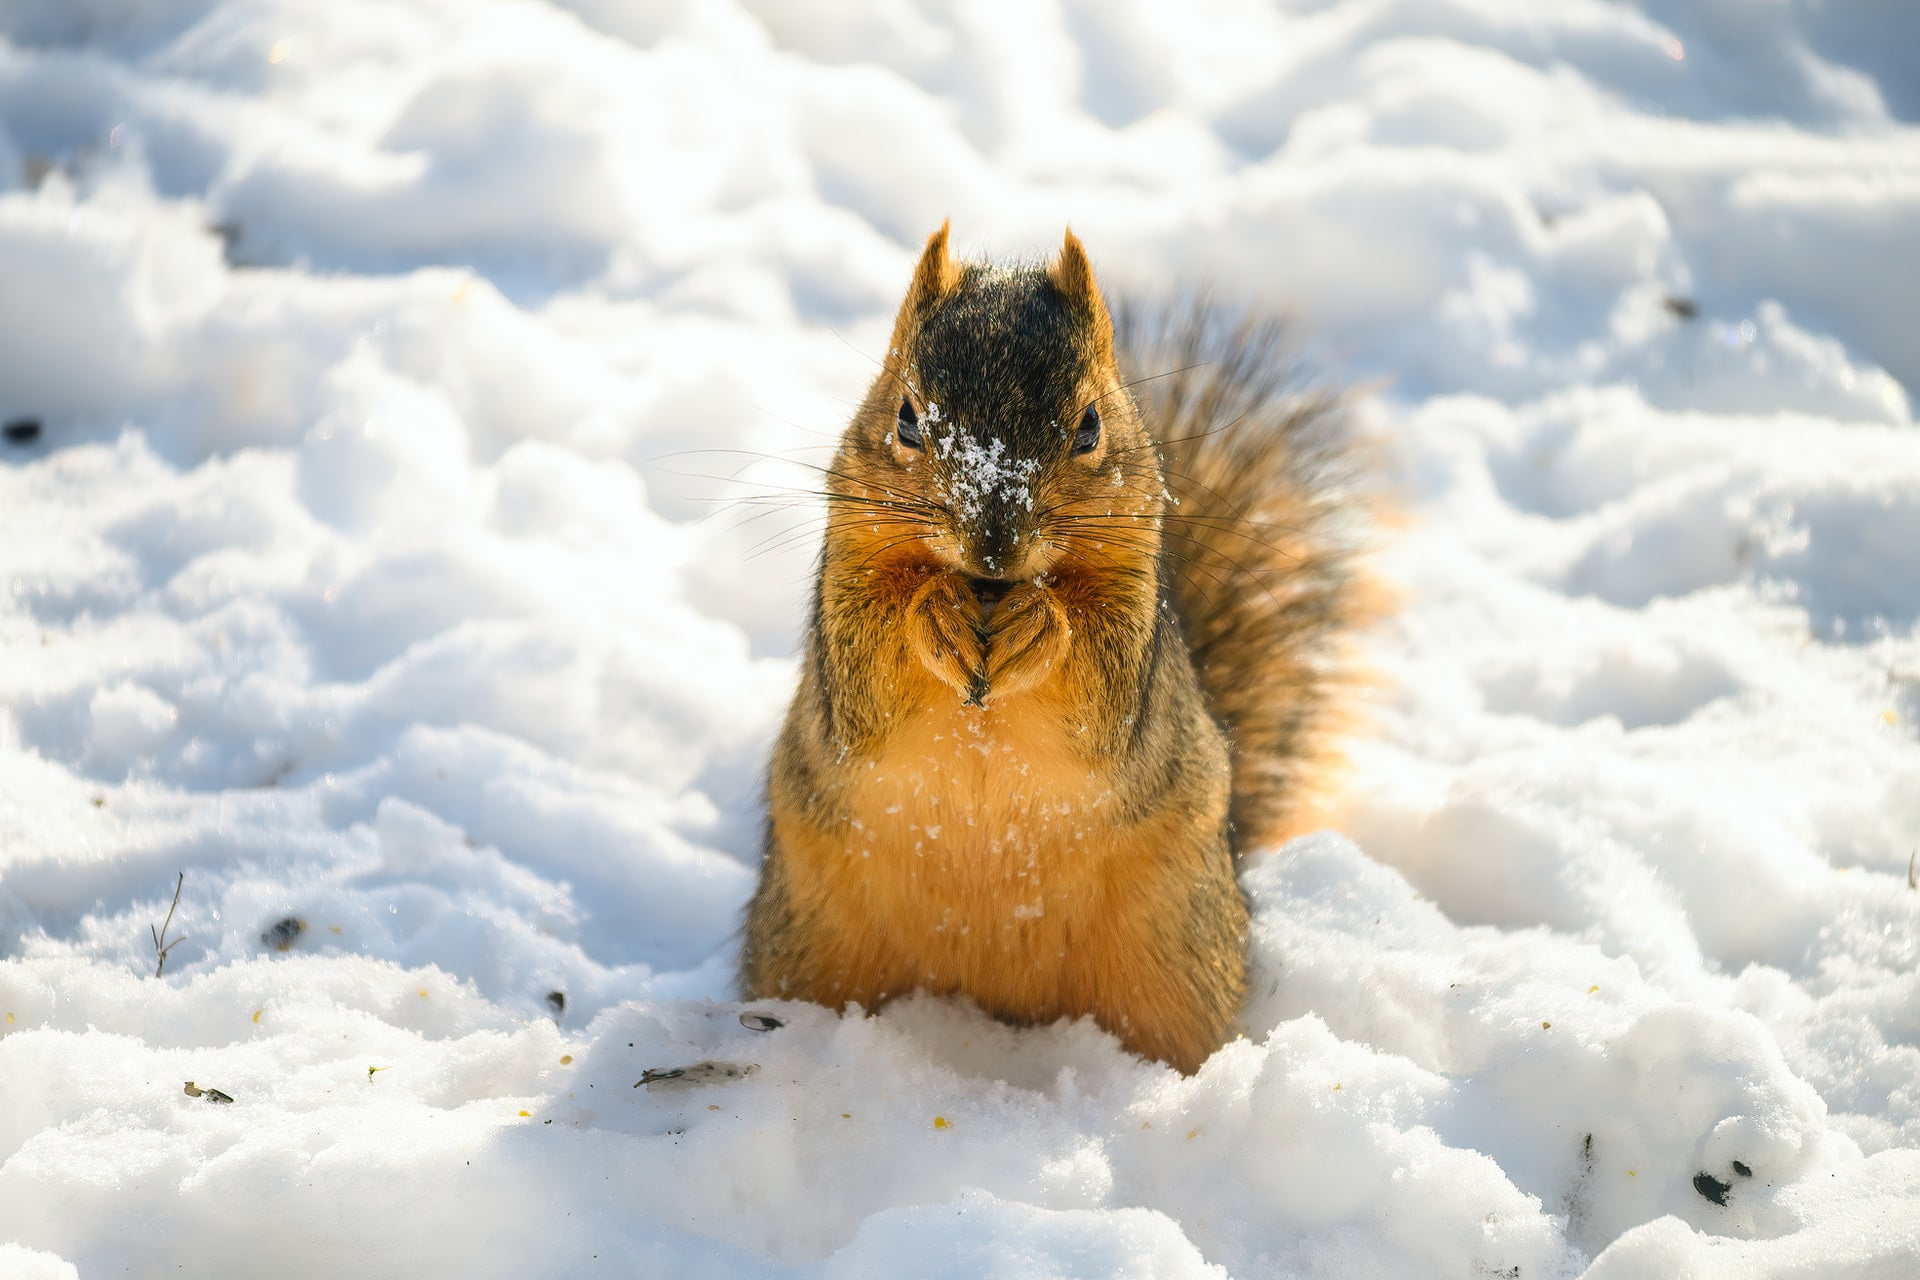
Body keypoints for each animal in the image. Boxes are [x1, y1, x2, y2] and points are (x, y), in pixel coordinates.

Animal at [741, 225, 1374, 1074]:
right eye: (906, 419)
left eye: (1090, 427)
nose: (993, 545)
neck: (990, 592)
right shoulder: (847, 581)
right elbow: (866, 664)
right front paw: (933, 612)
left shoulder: (1133, 619)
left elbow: (1099, 686)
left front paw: (1041, 624)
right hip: (806, 949)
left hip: (1175, 957)